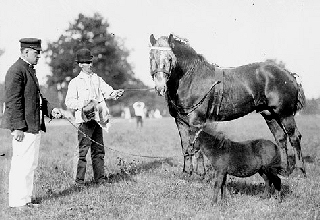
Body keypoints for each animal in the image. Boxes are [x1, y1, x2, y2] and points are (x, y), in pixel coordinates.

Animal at [150, 33, 308, 177]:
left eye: (170, 58)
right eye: (151, 57)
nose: (160, 87)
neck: (192, 78)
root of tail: (288, 74)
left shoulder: (197, 122)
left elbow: (196, 147)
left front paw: (200, 174)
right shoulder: (180, 122)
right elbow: (185, 147)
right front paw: (186, 173)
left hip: (284, 114)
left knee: (294, 137)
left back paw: (299, 171)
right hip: (270, 114)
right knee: (281, 139)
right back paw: (283, 170)